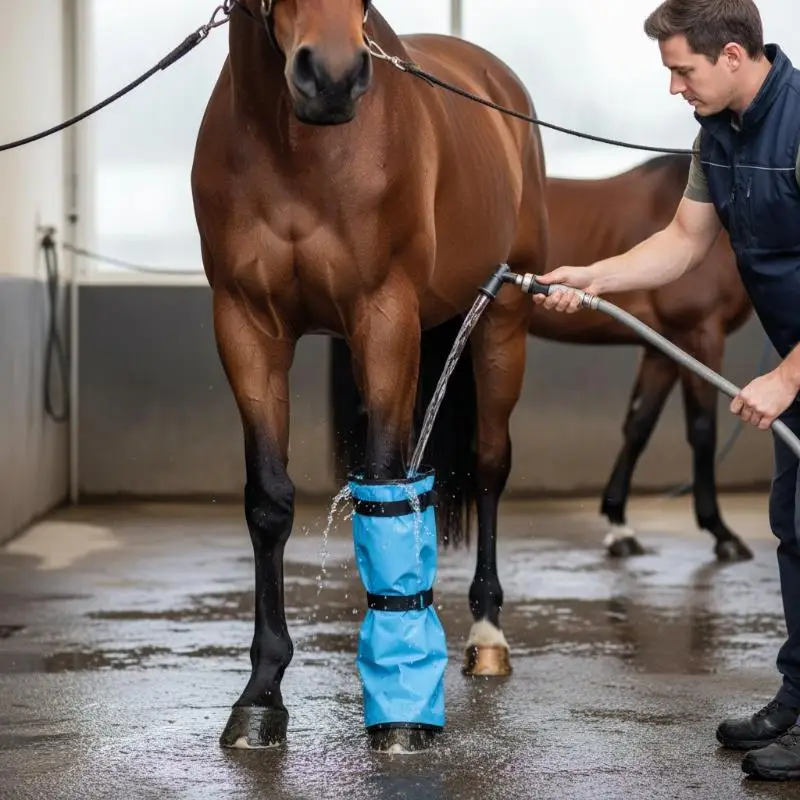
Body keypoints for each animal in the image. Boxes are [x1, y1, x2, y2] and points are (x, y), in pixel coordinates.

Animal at [191, 0, 548, 751]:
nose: (330, 77)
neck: (297, 154)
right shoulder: (245, 327)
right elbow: (269, 503)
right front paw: (261, 697)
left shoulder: (383, 317)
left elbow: (385, 486)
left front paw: (401, 707)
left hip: (501, 321)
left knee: (489, 465)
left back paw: (486, 635)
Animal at [530, 154, 754, 562]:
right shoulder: (700, 335)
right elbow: (703, 431)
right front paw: (721, 533)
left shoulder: (662, 349)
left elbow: (638, 427)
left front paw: (619, 526)